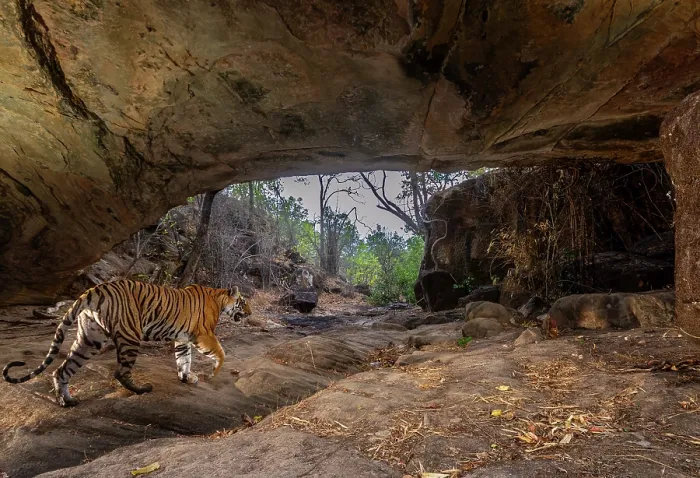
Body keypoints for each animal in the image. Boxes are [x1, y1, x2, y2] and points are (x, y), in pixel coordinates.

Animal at [2, 280, 252, 407]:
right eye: (243, 301)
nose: (250, 313)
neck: (219, 300)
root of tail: (94, 289)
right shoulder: (204, 334)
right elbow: (220, 353)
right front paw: (212, 374)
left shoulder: (183, 338)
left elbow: (184, 359)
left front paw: (186, 377)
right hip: (130, 334)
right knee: (120, 372)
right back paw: (142, 389)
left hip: (89, 339)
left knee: (62, 370)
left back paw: (67, 400)